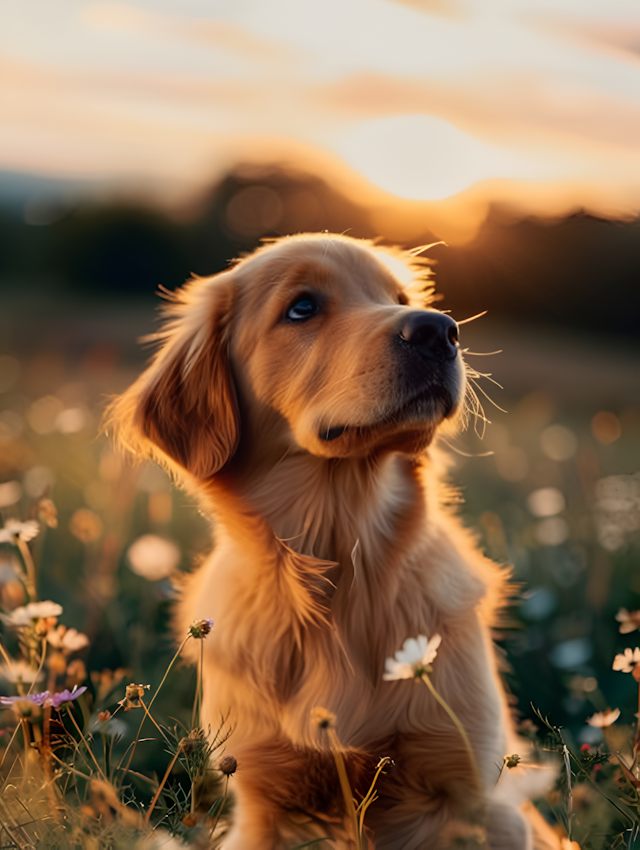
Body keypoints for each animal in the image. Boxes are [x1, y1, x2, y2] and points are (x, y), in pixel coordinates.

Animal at [110, 234, 560, 848]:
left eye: (399, 298)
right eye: (302, 308)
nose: (440, 331)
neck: (345, 566)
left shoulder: (480, 801)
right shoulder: (262, 808)